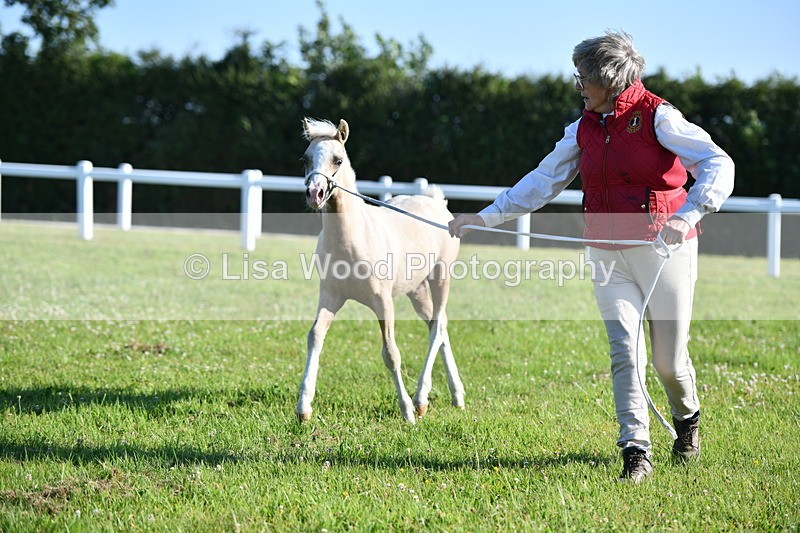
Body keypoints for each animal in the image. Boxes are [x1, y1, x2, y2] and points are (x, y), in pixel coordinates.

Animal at [296, 118, 465, 423]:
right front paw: (303, 408)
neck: (353, 239)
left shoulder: (383, 302)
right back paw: (456, 395)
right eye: (305, 159)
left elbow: (391, 353)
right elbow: (315, 337)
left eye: (338, 159)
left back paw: (421, 399)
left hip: (441, 278)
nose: (315, 194)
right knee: (439, 324)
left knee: (436, 329)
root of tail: (438, 203)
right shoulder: (330, 297)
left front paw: (407, 411)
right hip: (416, 291)